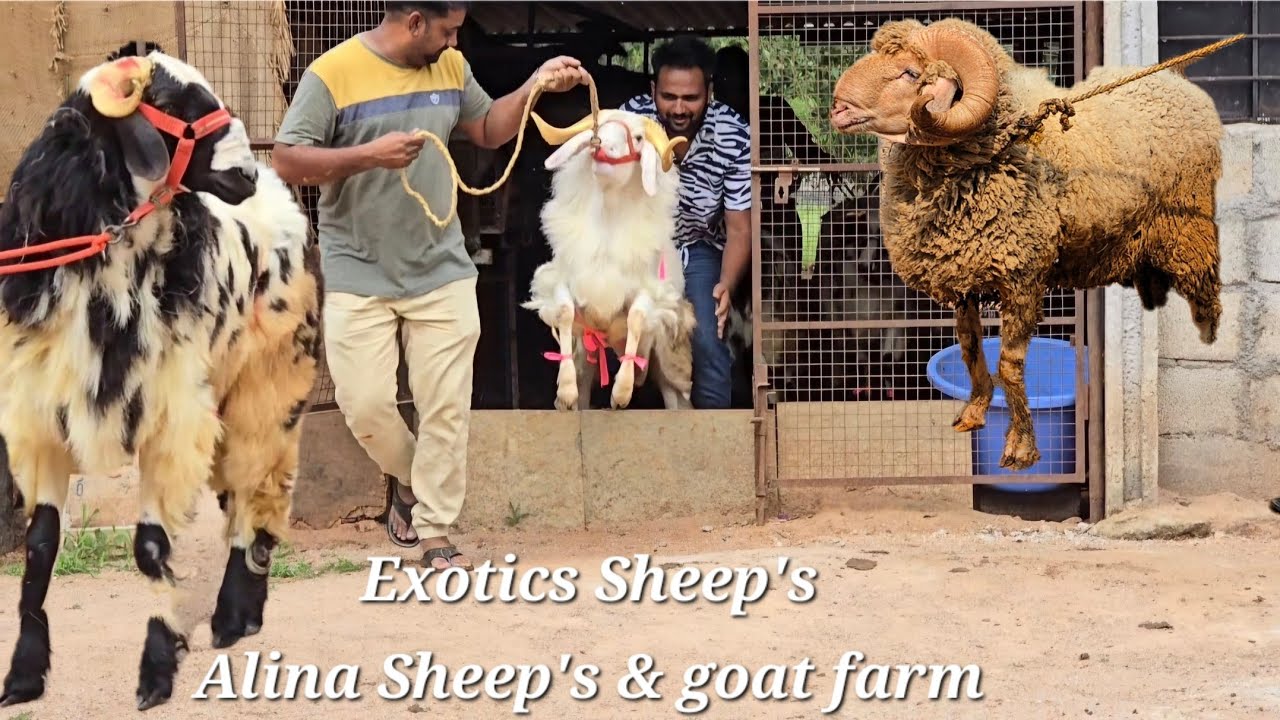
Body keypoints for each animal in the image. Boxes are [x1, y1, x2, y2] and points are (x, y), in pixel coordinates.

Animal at [0, 43, 320, 710]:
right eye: (179, 105)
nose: (244, 176)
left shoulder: (170, 419)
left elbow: (151, 550)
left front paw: (155, 671)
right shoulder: (39, 418)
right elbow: (40, 547)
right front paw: (23, 675)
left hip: (269, 386)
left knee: (258, 492)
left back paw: (231, 616)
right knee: (242, 495)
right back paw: (243, 616)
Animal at [521, 109, 697, 411]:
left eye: (638, 138)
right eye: (598, 127)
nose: (600, 146)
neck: (607, 223)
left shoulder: (651, 291)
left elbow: (636, 317)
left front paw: (621, 394)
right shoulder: (564, 280)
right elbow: (565, 312)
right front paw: (565, 390)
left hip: (669, 357)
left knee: (675, 399)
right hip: (587, 357)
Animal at [829, 17, 1225, 470]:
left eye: (911, 73)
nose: (837, 107)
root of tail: (1177, 83)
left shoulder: (1021, 277)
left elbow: (1010, 365)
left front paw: (1020, 448)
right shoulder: (964, 275)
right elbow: (970, 350)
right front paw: (973, 413)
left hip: (1189, 229)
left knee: (1206, 294)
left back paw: (1209, 334)